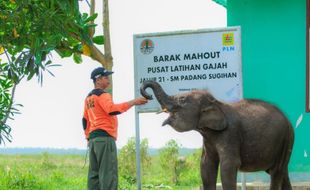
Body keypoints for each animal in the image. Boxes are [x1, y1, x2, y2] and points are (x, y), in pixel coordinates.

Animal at [141, 80, 296, 190]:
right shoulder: (208, 139)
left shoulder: (230, 134)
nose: (148, 95)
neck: (215, 103)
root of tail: (288, 121)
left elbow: (228, 165)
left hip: (286, 138)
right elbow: (206, 166)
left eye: (182, 99)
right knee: (282, 172)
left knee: (276, 172)